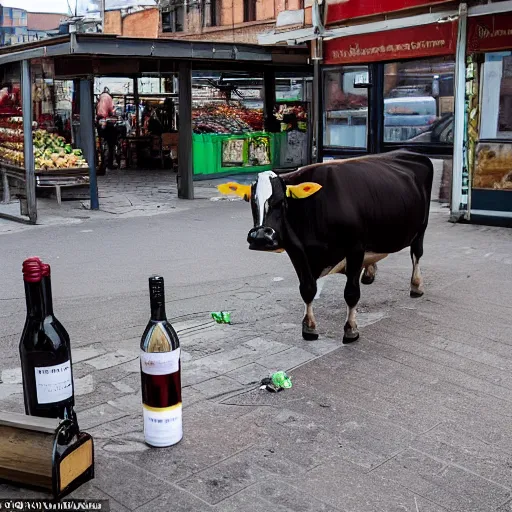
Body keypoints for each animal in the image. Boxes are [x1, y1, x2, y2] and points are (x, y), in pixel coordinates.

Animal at [218, 151, 434, 344]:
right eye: (251, 202)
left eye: (281, 201)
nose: (261, 237)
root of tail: (410, 153)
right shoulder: (297, 249)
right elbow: (307, 289)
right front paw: (309, 328)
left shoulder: (355, 248)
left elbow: (351, 293)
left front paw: (351, 330)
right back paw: (369, 273)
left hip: (421, 228)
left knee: (417, 254)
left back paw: (416, 286)